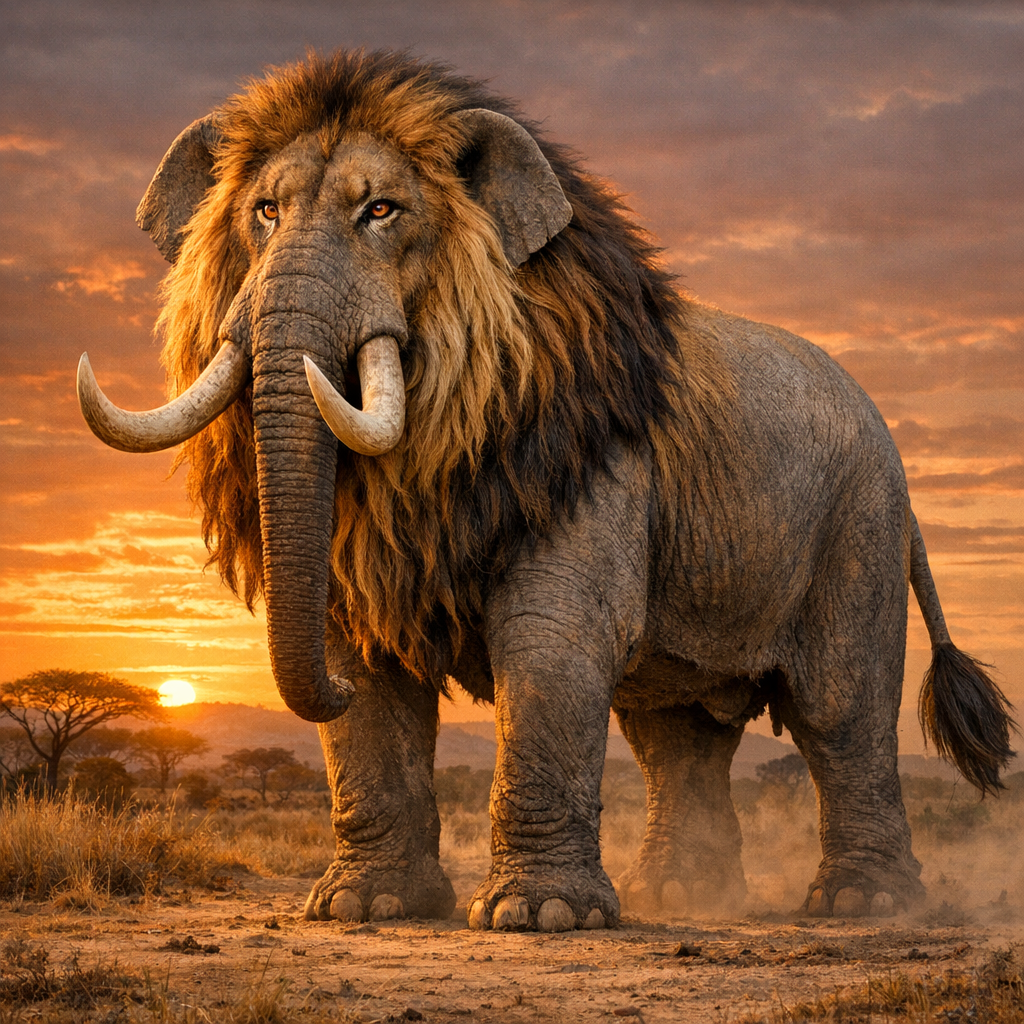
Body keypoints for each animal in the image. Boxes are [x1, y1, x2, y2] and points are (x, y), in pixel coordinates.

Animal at [78, 50, 1013, 929]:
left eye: (381, 211)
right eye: (264, 212)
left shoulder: (590, 475)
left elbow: (547, 650)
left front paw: (542, 918)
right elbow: (361, 665)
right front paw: (362, 907)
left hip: (861, 526)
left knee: (842, 716)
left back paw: (866, 905)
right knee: (679, 738)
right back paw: (679, 894)